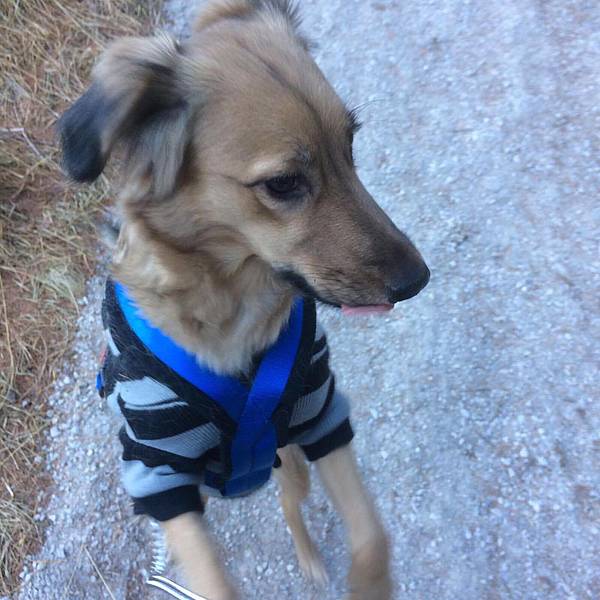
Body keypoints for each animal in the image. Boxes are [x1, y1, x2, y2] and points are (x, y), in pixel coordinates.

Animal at [58, 1, 429, 598]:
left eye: (349, 145)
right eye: (282, 183)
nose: (417, 280)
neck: (231, 302)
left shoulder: (321, 416)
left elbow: (373, 538)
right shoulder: (158, 470)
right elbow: (213, 577)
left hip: (290, 461)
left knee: (291, 505)